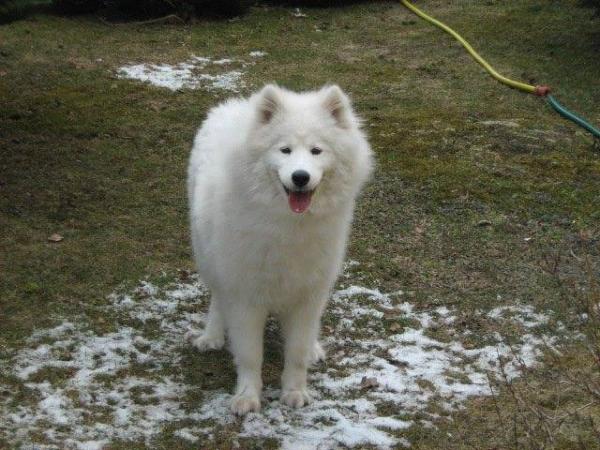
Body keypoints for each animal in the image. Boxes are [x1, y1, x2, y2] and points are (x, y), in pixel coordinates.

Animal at [189, 83, 376, 414]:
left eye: (316, 150)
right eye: (284, 150)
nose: (300, 177)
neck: (289, 226)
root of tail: (235, 106)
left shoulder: (309, 294)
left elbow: (297, 352)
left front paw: (295, 391)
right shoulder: (245, 296)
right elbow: (250, 355)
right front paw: (247, 396)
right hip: (209, 257)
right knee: (217, 297)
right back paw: (211, 335)